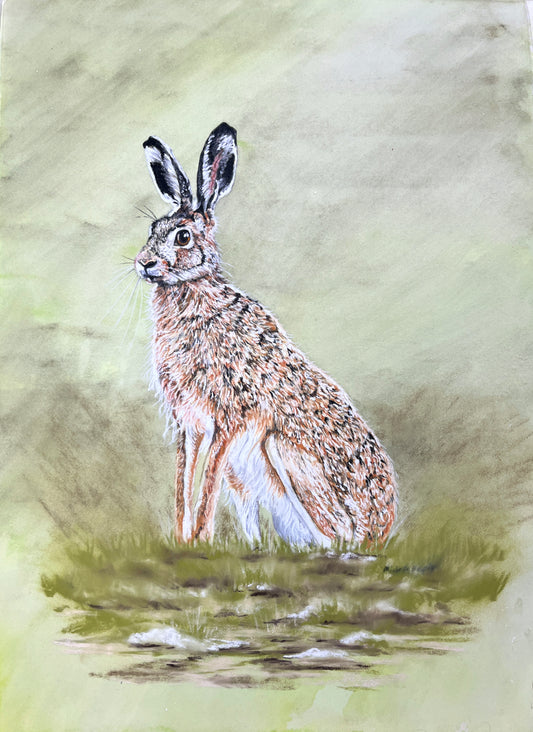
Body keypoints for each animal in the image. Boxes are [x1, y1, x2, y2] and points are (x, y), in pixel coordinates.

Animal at [134, 122, 397, 547]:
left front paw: (200, 539)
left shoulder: (228, 416)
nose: (144, 263)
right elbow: (183, 482)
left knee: (339, 540)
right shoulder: (188, 423)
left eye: (183, 237)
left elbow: (205, 485)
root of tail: (383, 528)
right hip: (245, 478)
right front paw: (182, 539)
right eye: (152, 229)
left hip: (286, 456)